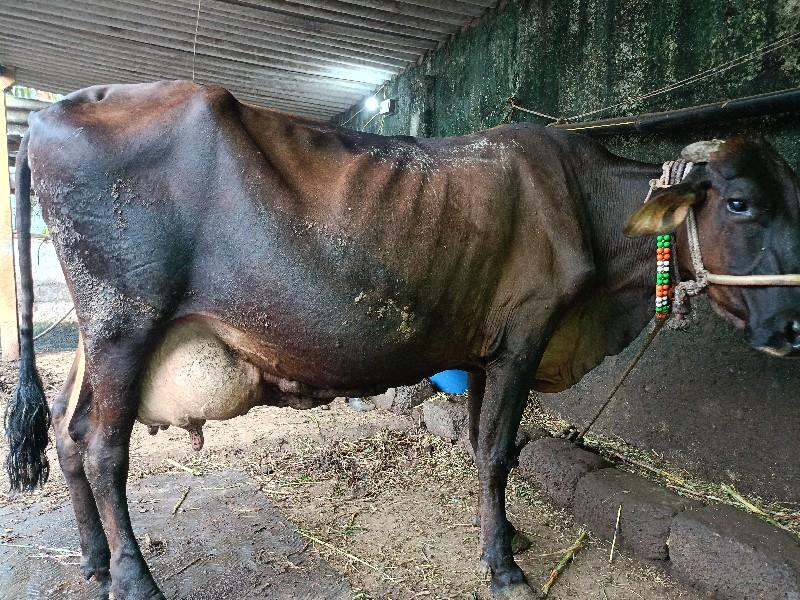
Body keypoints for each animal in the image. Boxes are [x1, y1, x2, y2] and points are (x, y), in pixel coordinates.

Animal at [6, 80, 800, 600]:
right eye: (739, 202)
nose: (791, 326)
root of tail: (51, 113)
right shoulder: (527, 332)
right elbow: (497, 454)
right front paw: (505, 568)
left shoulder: (485, 347)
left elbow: (486, 445)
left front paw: (506, 536)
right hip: (124, 321)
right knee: (103, 450)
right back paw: (134, 580)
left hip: (99, 333)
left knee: (70, 434)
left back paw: (94, 562)